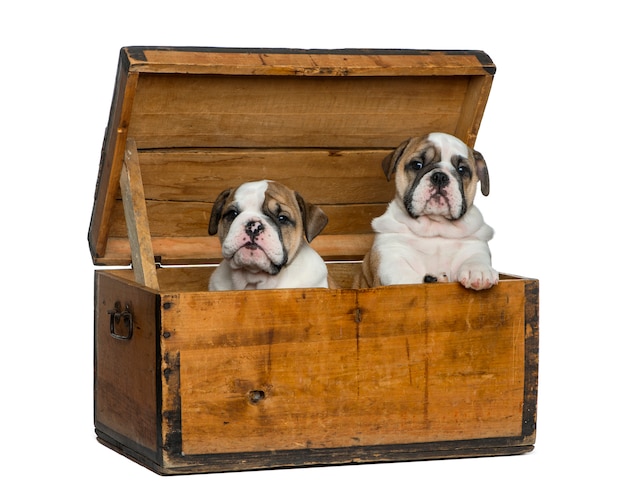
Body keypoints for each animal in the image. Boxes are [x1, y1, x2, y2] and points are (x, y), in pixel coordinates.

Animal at [356, 133, 498, 290]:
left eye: (462, 170)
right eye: (417, 165)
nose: (440, 176)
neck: (435, 225)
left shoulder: (475, 244)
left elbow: (476, 257)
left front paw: (478, 270)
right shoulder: (389, 256)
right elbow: (406, 277)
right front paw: (429, 280)